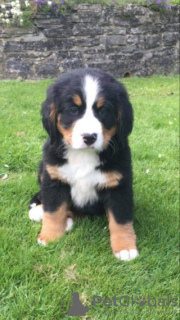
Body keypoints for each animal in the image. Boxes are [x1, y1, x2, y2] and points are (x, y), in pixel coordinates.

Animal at [28, 67, 139, 260]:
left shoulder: (118, 185)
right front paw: (49, 236)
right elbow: (53, 211)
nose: (89, 137)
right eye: (73, 110)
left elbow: (121, 219)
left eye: (103, 111)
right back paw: (39, 210)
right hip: (44, 168)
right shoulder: (54, 179)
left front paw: (125, 247)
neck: (83, 155)